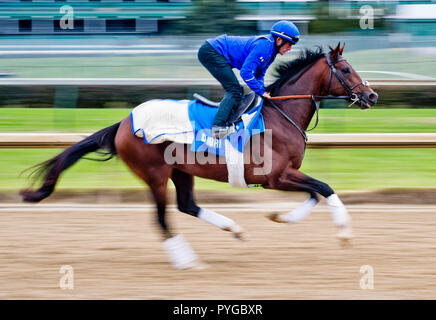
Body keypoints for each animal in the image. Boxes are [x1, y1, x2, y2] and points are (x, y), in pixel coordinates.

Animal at [21, 42, 378, 268]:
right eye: (345, 68)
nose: (372, 95)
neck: (280, 114)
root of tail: (123, 122)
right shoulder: (276, 176)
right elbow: (325, 189)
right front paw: (344, 233)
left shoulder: (284, 175)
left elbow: (316, 193)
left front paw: (280, 217)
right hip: (155, 174)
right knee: (162, 218)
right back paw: (187, 262)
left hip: (180, 171)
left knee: (187, 205)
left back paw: (233, 229)